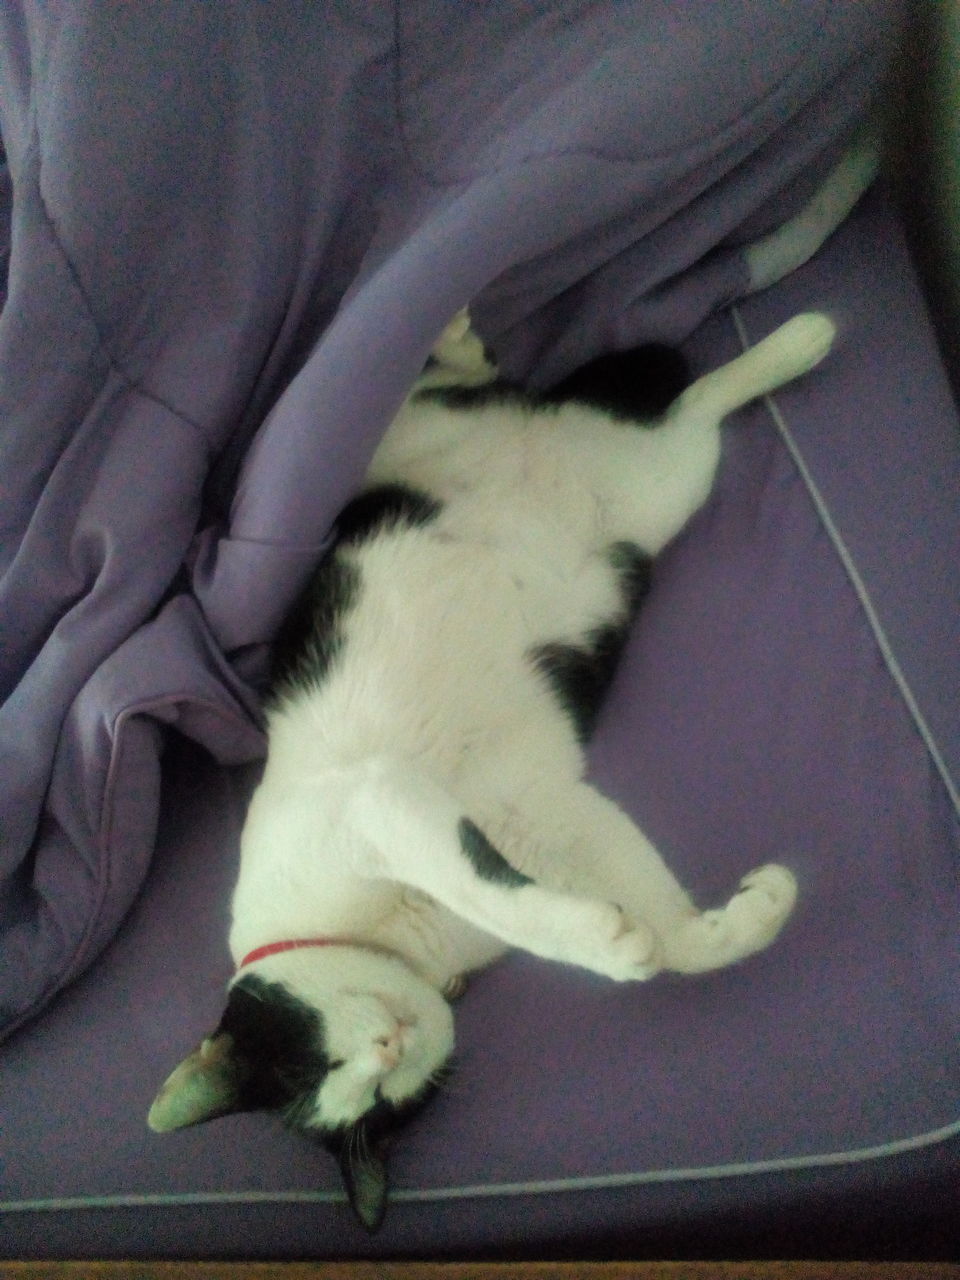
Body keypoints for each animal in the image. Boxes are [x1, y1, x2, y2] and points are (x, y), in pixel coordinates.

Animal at [146, 304, 839, 1233]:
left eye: (315, 1061)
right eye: (368, 1102)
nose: (386, 1047)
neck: (403, 941)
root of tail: (536, 436)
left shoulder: (375, 801)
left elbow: (490, 890)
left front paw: (608, 945)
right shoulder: (538, 811)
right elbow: (663, 927)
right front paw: (730, 923)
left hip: (407, 447)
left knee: (437, 389)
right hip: (663, 485)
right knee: (696, 408)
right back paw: (797, 344)